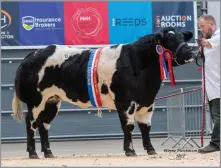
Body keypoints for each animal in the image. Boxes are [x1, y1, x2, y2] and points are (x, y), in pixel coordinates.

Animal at [11, 27, 199, 159]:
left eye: (183, 37)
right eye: (170, 40)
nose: (191, 52)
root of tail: (34, 53)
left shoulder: (148, 102)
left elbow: (146, 127)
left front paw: (151, 150)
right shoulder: (126, 102)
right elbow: (129, 126)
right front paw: (130, 150)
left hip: (52, 101)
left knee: (44, 125)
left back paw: (49, 153)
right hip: (36, 100)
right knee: (31, 123)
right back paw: (33, 153)